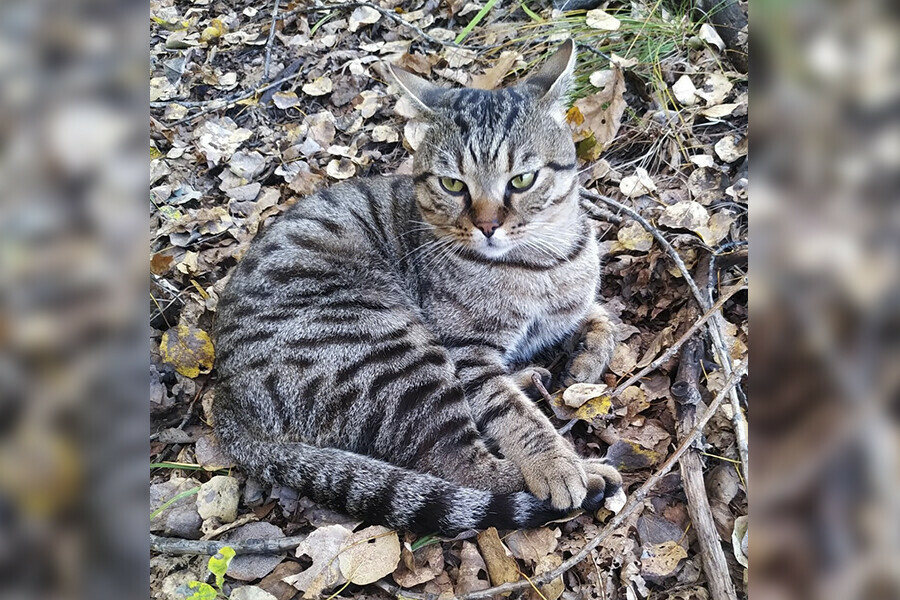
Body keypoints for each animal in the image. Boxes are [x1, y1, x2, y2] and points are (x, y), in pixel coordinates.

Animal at [214, 42, 624, 536]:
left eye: (522, 179)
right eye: (453, 185)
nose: (487, 225)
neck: (544, 261)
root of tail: (225, 398)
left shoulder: (573, 301)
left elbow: (603, 316)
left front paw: (586, 361)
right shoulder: (466, 351)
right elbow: (511, 414)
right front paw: (555, 463)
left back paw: (531, 379)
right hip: (395, 353)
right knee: (458, 464)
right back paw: (585, 471)